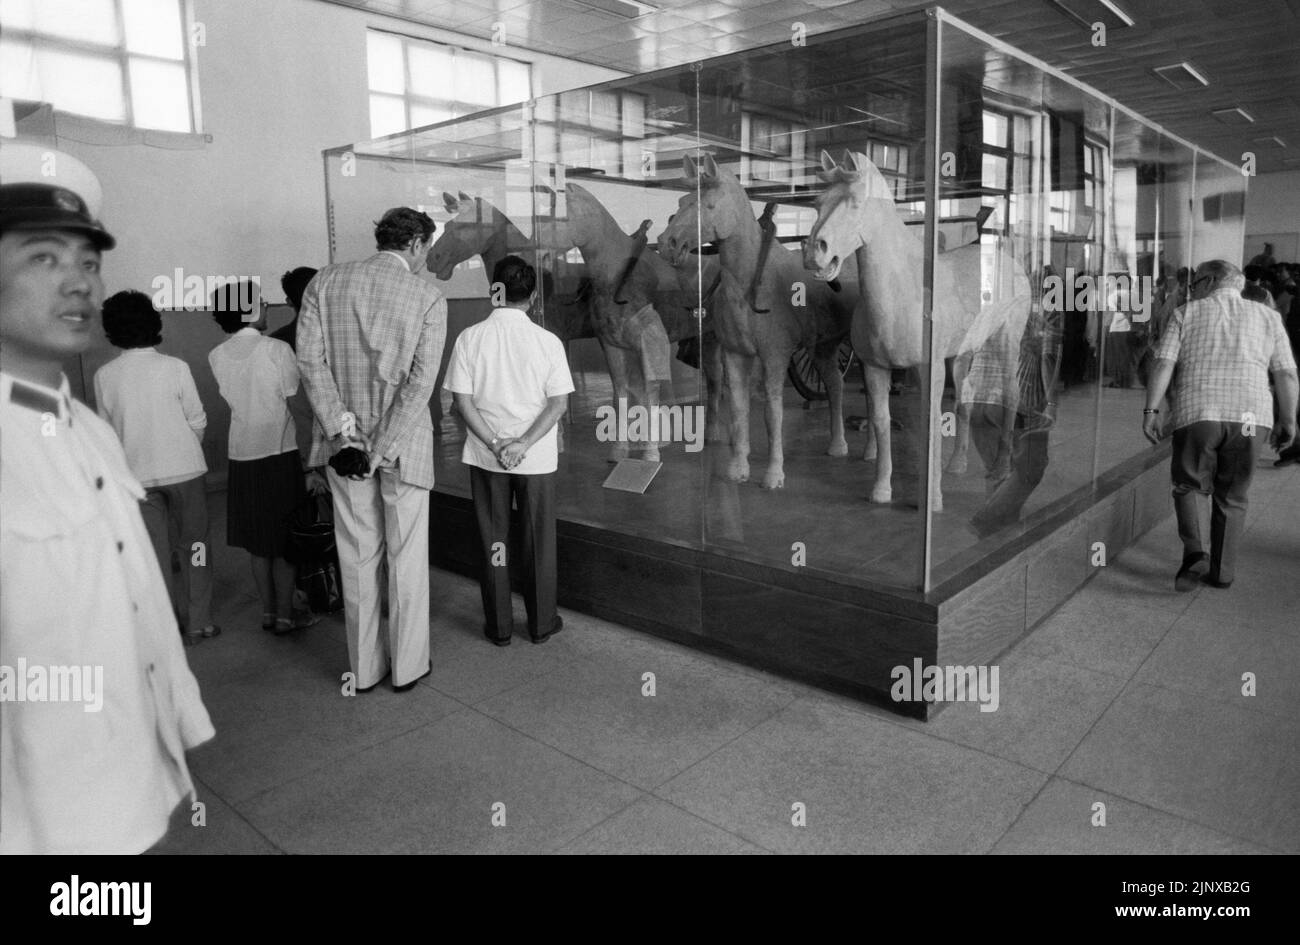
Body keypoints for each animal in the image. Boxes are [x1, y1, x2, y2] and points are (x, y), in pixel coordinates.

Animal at [655, 151, 857, 491]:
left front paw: (774, 474)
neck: (749, 279)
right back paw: (837, 445)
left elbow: (772, 414)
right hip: (823, 347)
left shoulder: (774, 357)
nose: (667, 243)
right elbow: (738, 410)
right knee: (835, 384)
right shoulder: (735, 355)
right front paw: (738, 468)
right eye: (682, 202)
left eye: (709, 205)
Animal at [795, 151, 1029, 509]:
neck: (903, 288)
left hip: (1006, 342)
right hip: (963, 353)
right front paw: (881, 489)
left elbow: (931, 424)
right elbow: (881, 422)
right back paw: (957, 465)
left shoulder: (928, 371)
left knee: (1010, 395)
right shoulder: (875, 368)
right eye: (818, 203)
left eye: (856, 202)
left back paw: (1001, 470)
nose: (813, 253)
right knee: (965, 400)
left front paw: (933, 500)